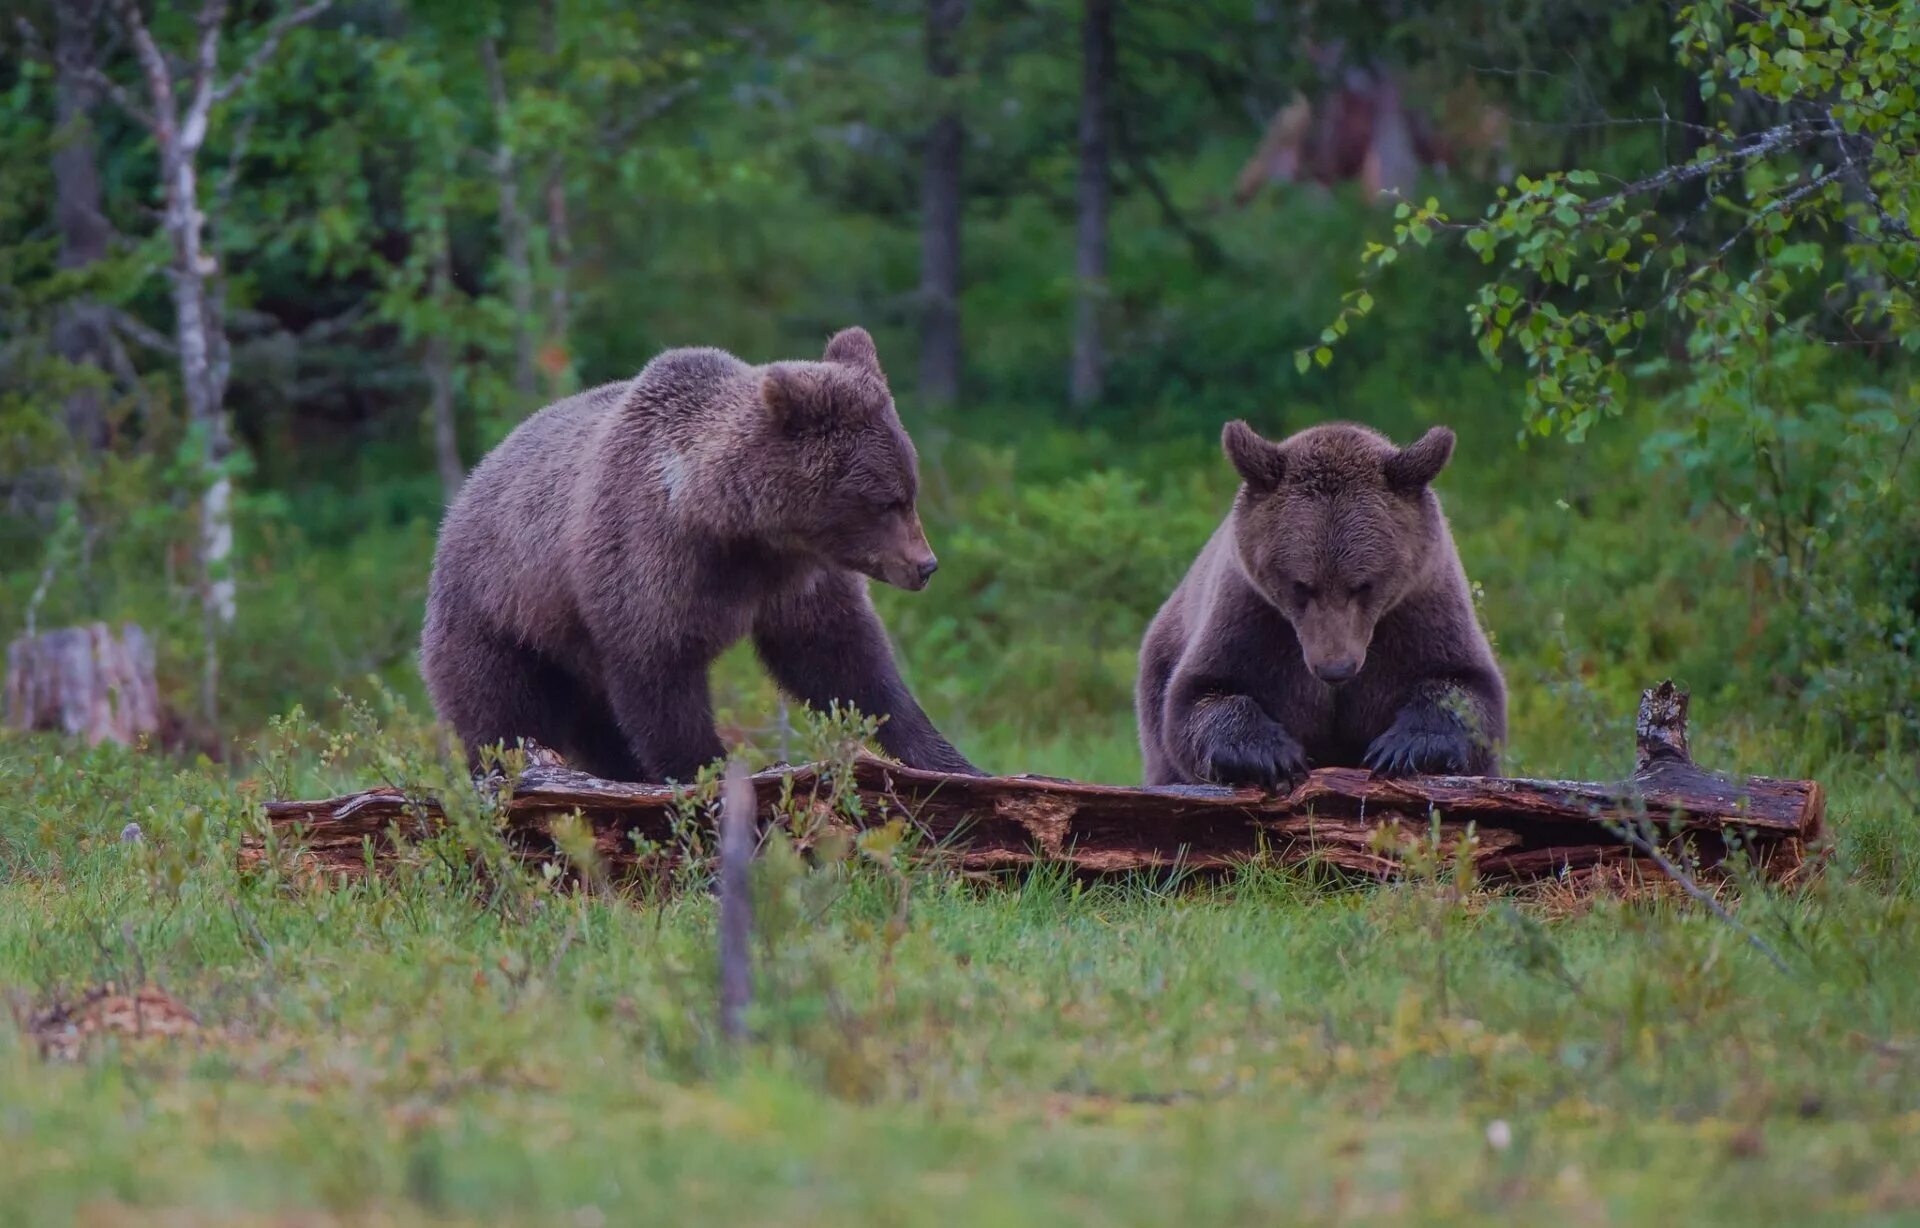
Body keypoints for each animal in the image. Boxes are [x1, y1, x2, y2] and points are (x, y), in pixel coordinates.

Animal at [426, 326, 983, 782]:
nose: (926, 566)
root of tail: (464, 495)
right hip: (502, 619)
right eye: (886, 500)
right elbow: (660, 675)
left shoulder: (800, 576)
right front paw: (707, 772)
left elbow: (843, 660)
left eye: (909, 490)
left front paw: (952, 762)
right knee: (499, 712)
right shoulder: (646, 558)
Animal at [1128, 422, 1505, 786]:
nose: (1335, 668)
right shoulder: (1252, 616)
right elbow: (1200, 694)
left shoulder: (1420, 610)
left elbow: (1468, 687)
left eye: (1363, 585)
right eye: (1301, 586)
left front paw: (1402, 749)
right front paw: (1271, 756)